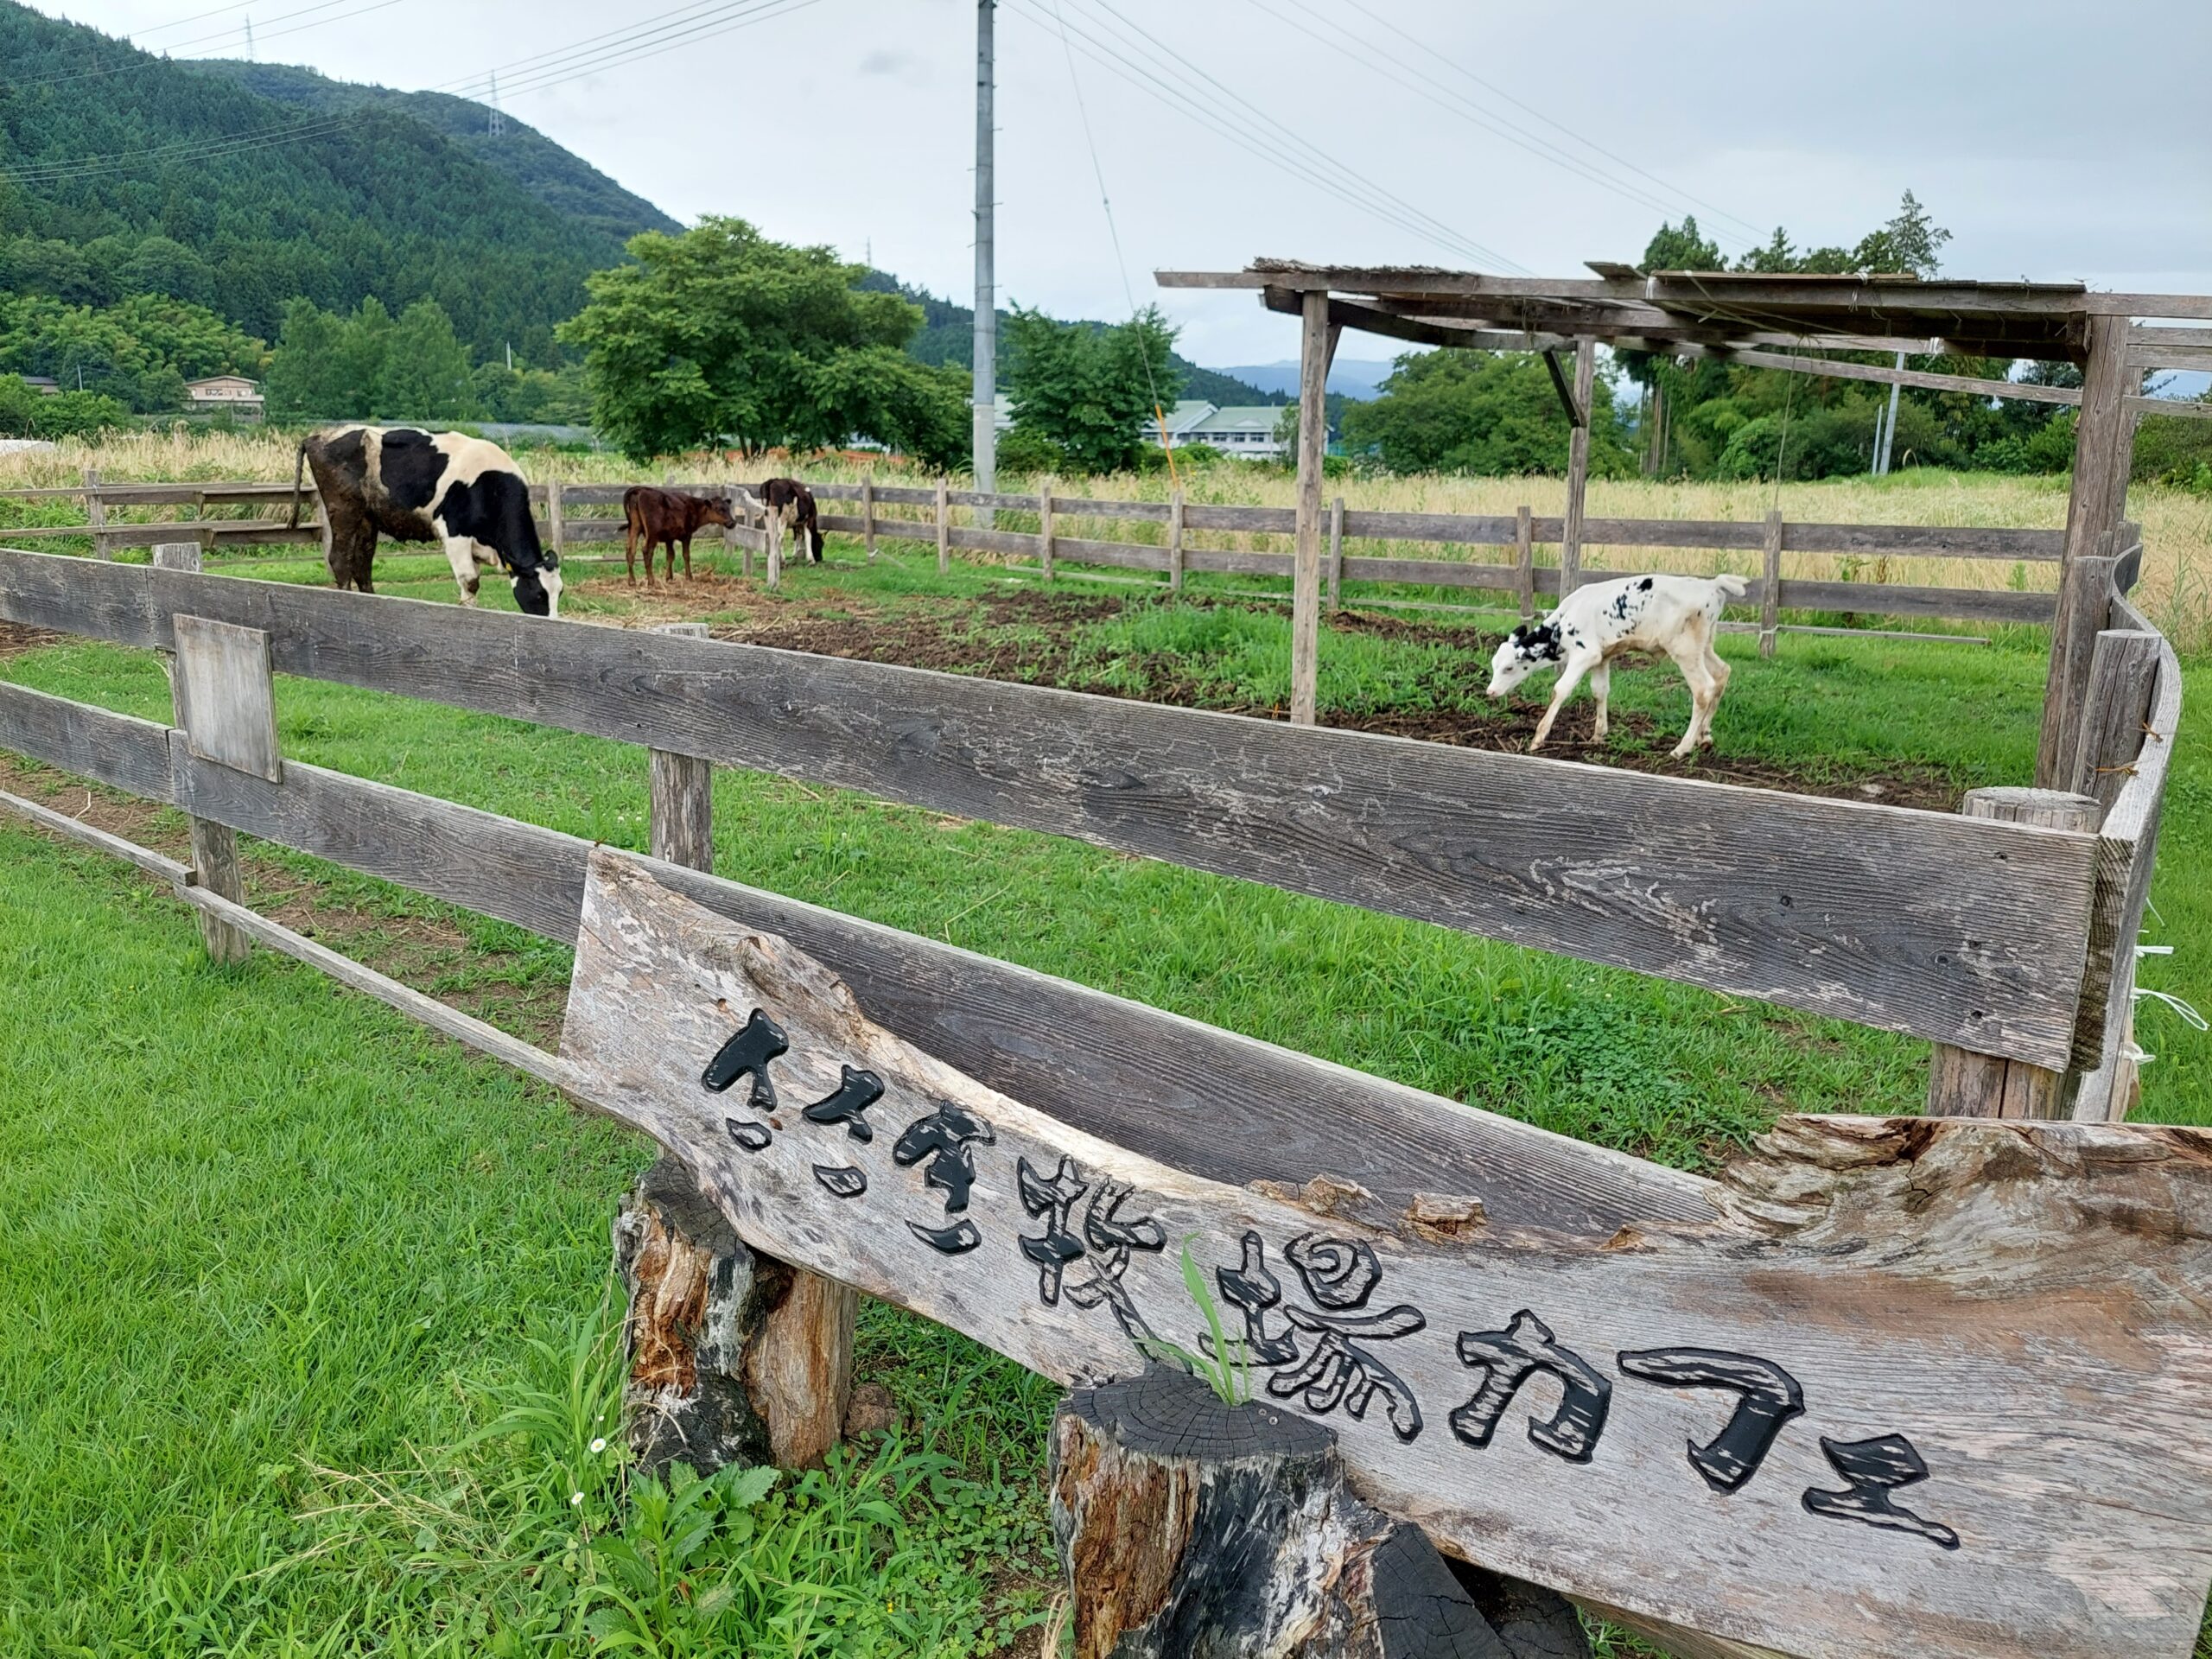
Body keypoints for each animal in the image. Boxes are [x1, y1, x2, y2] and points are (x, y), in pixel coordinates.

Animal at [289, 424, 566, 619]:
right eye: (538, 595)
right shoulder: (454, 534)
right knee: (340, 559)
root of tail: (316, 436)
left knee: (362, 564)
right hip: (344, 509)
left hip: (368, 518)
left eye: (560, 592)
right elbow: (470, 581)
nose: (553, 622)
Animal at [619, 486, 739, 583]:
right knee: (646, 550)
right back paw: (651, 581)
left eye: (728, 508)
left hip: (634, 527)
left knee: (630, 551)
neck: (694, 508)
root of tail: (640, 490)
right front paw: (689, 577)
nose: (732, 522)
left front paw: (669, 577)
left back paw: (632, 581)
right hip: (652, 533)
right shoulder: (687, 535)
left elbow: (670, 556)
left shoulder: (669, 538)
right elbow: (686, 555)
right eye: (718, 509)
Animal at [1486, 570, 1743, 756]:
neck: (1564, 623)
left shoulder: (1585, 654)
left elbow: (1560, 690)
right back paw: (1705, 736)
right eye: (1493, 665)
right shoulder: (1602, 656)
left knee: (1703, 689)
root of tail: (1711, 586)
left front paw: (1538, 738)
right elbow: (1599, 691)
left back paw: (1682, 748)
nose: (1490, 692)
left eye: (1508, 668)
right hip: (1704, 646)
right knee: (1722, 672)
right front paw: (1598, 735)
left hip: (1685, 649)